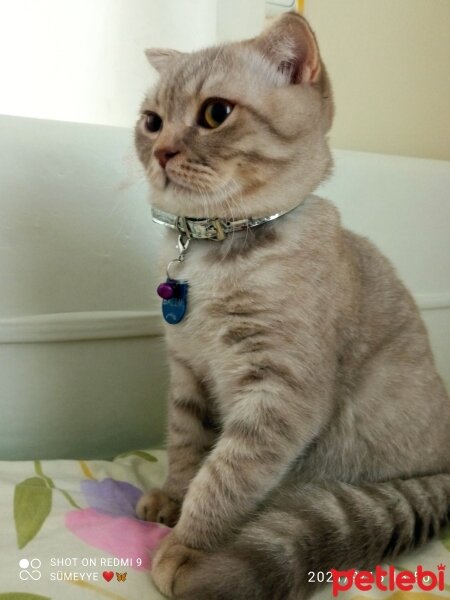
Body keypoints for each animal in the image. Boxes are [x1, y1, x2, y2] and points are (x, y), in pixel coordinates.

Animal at [134, 10, 450, 600]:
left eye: (215, 113)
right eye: (151, 121)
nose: (162, 150)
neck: (214, 254)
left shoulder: (277, 394)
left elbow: (225, 475)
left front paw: (189, 546)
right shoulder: (188, 371)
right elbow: (186, 445)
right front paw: (171, 496)